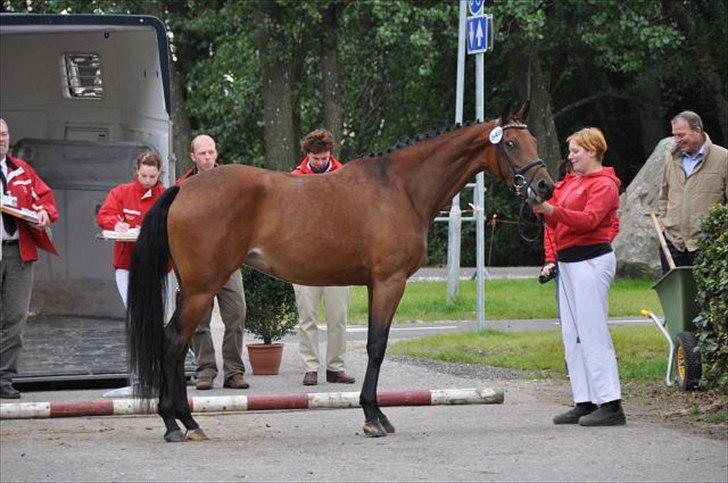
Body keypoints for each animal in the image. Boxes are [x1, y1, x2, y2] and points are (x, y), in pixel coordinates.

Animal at [128, 101, 556, 442]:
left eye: (533, 141)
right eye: (511, 144)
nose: (545, 187)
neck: (400, 187)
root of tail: (184, 188)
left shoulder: (373, 285)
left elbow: (371, 344)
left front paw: (374, 413)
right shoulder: (390, 281)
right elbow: (377, 347)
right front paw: (373, 417)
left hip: (194, 288)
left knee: (175, 342)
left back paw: (182, 421)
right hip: (202, 288)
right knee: (173, 341)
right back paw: (178, 424)